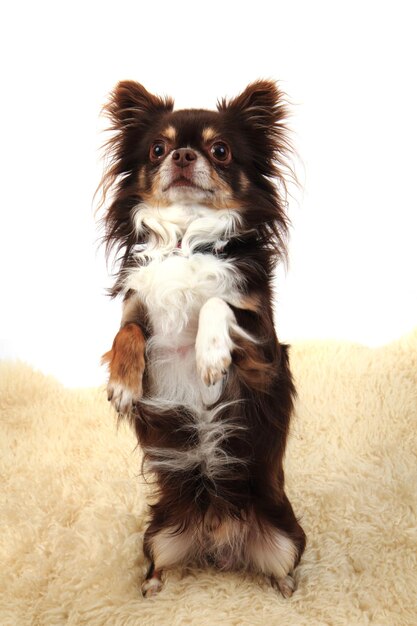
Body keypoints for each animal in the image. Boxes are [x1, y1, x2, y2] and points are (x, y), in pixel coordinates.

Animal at [98, 78, 306, 596]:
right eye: (157, 149)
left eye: (221, 150)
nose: (184, 155)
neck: (186, 239)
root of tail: (217, 538)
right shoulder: (139, 309)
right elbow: (127, 330)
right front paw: (122, 384)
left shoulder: (264, 355)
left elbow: (217, 303)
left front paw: (209, 354)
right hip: (157, 534)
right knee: (158, 562)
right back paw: (150, 589)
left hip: (286, 536)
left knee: (283, 563)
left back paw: (287, 590)